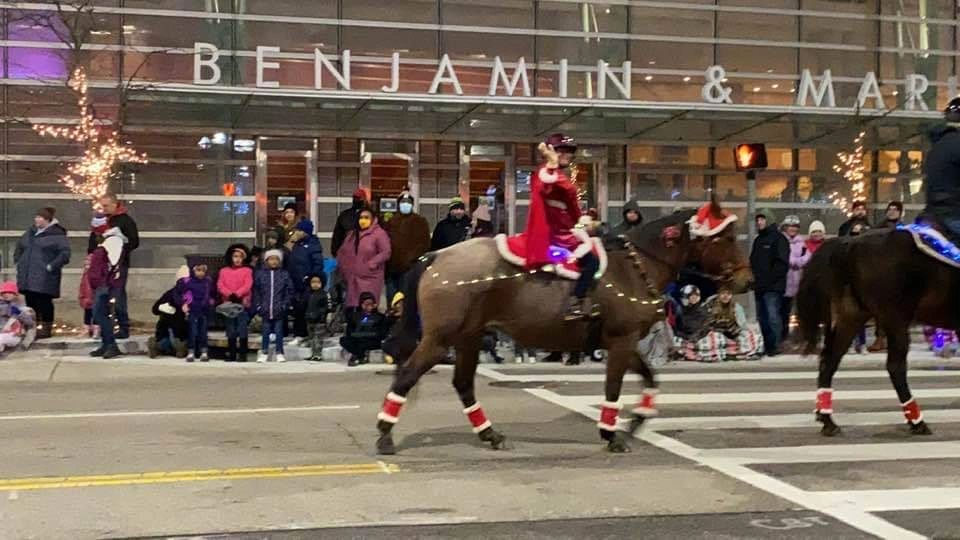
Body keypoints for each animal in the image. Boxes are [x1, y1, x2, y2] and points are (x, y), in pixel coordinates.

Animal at [372, 205, 752, 454]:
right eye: (726, 237)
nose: (748, 280)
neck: (634, 267)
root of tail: (435, 256)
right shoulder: (621, 340)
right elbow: (614, 386)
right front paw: (611, 433)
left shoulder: (625, 342)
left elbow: (649, 378)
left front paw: (638, 419)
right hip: (439, 340)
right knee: (407, 375)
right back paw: (385, 435)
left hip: (469, 338)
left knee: (463, 383)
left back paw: (489, 434)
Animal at [796, 226, 952, 436]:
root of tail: (850, 243)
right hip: (895, 319)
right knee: (895, 367)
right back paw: (917, 422)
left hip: (852, 316)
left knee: (830, 360)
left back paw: (827, 420)